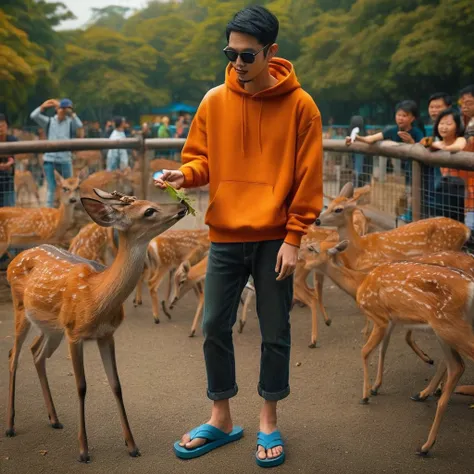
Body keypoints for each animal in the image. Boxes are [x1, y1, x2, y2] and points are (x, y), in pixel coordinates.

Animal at [5, 188, 189, 462]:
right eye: (148, 211)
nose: (182, 205)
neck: (97, 296)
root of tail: (14, 259)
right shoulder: (74, 333)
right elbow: (81, 386)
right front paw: (83, 450)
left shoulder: (106, 335)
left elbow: (116, 384)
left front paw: (132, 445)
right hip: (22, 309)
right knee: (13, 355)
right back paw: (10, 426)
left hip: (51, 327)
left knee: (36, 352)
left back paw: (54, 419)